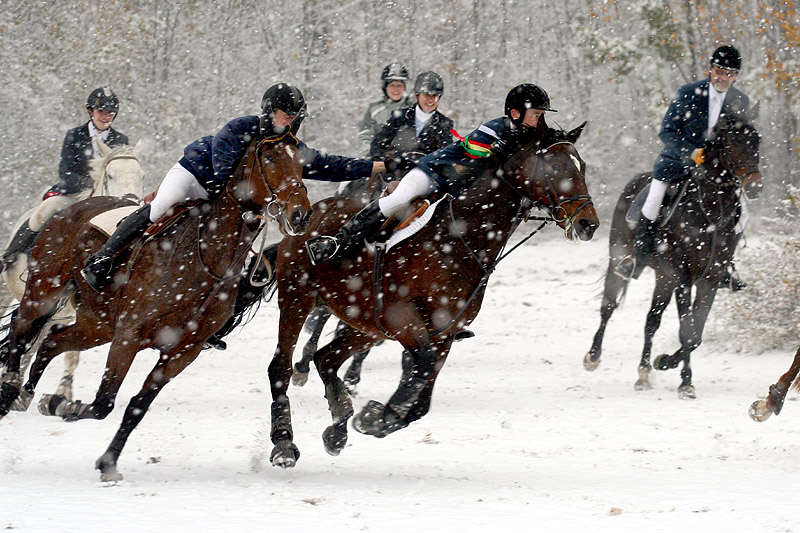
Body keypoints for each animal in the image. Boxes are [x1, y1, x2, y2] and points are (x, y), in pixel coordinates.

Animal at [268, 123, 600, 466]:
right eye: (558, 169)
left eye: (583, 167)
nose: (588, 223)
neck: (462, 236)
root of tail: (308, 215)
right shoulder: (404, 319)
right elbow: (422, 367)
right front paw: (377, 414)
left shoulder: (443, 333)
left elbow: (421, 401)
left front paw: (375, 418)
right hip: (297, 298)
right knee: (280, 366)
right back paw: (284, 444)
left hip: (367, 325)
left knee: (327, 358)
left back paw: (337, 428)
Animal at [580, 114, 764, 402]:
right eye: (732, 143)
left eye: (757, 141)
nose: (755, 186)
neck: (711, 213)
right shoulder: (684, 279)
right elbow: (686, 330)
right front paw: (685, 382)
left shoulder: (709, 281)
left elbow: (695, 334)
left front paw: (664, 362)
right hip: (620, 261)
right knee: (608, 306)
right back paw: (593, 356)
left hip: (663, 278)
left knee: (651, 321)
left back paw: (644, 373)